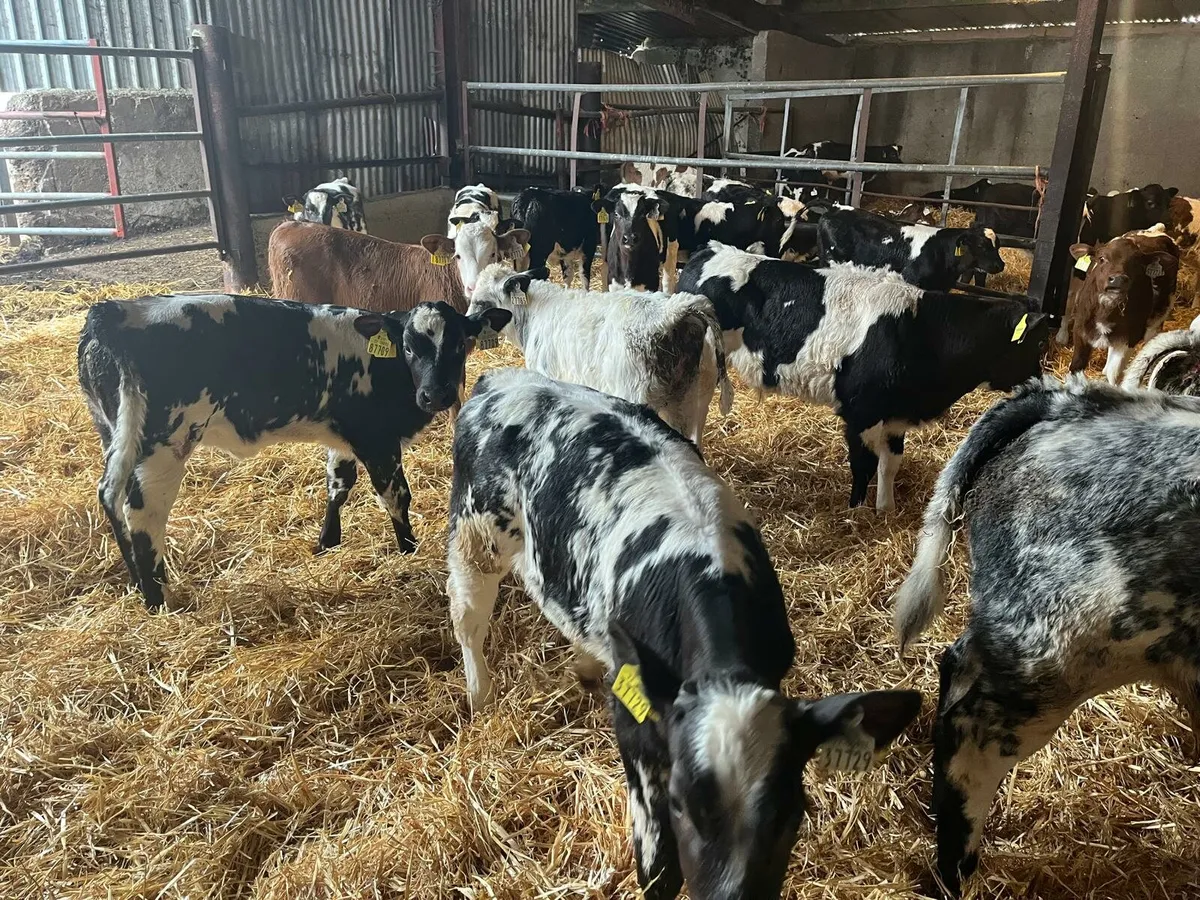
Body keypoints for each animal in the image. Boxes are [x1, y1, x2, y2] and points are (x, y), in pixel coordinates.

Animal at [77, 294, 510, 611]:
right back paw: (159, 599)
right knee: (143, 514)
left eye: (460, 345)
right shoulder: (378, 440)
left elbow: (338, 485)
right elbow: (396, 497)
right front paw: (409, 552)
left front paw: (326, 544)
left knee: (109, 496)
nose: (436, 395)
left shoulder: (343, 439)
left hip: (115, 434)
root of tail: (110, 312)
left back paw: (138, 583)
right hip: (162, 447)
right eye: (407, 346)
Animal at [447, 366, 923, 900]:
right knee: (467, 618)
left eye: (791, 816)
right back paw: (480, 695)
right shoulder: (637, 735)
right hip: (475, 538)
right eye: (679, 804)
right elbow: (657, 868)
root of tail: (501, 378)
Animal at [678, 243, 1047, 510]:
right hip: (705, 360)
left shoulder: (895, 413)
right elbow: (863, 464)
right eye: (1036, 345)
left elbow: (890, 463)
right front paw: (856, 512)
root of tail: (707, 251)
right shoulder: (861, 411)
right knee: (696, 405)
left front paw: (886, 510)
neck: (919, 330)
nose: (1042, 386)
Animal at [1059, 228, 1181, 383]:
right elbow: (1076, 367)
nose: (1118, 279)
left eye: (1137, 264)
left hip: (1158, 318)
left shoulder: (1130, 337)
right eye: (1102, 259)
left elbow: (1115, 374)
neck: (1105, 313)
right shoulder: (1080, 331)